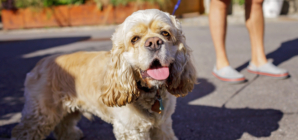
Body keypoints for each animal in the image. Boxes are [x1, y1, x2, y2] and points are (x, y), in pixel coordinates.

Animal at [11, 9, 197, 140]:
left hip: (69, 108)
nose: (154, 42)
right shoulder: (130, 129)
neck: (150, 92)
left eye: (165, 33)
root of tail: (41, 62)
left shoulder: (163, 124)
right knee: (22, 131)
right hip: (41, 113)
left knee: (64, 124)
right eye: (135, 39)